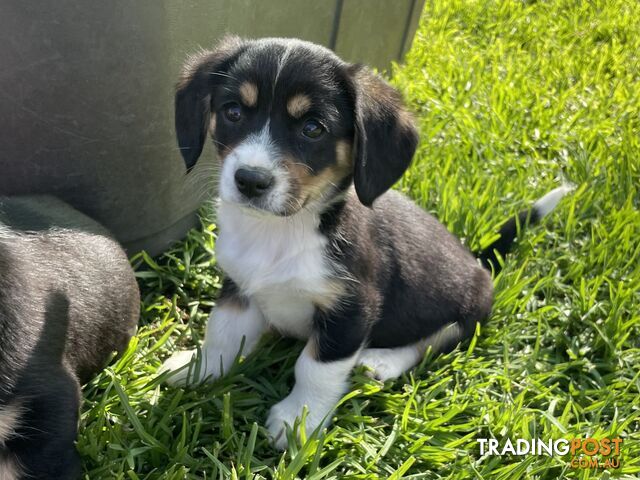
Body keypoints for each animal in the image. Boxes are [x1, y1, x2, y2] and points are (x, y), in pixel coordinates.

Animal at [162, 35, 572, 448]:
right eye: (232, 111)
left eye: (313, 128)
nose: (250, 180)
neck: (281, 231)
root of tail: (478, 262)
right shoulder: (239, 285)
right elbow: (222, 333)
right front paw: (201, 368)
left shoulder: (352, 310)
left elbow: (314, 367)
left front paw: (298, 420)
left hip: (468, 312)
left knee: (433, 340)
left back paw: (382, 361)